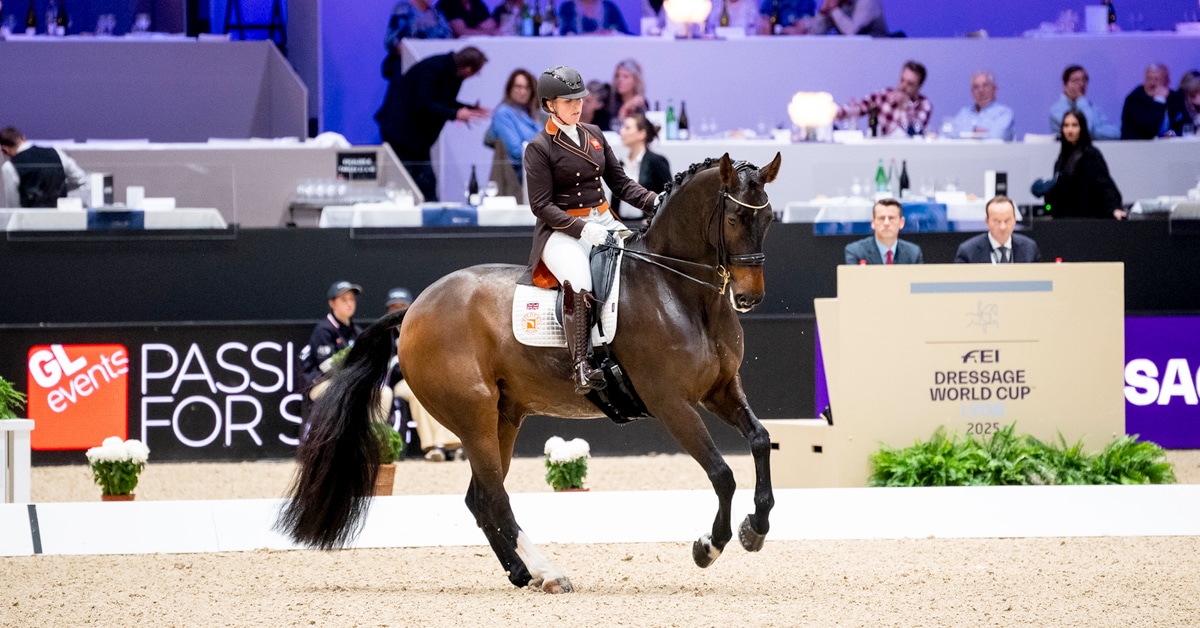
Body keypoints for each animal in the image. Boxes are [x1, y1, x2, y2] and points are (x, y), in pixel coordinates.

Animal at [277, 152, 783, 594]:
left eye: (769, 220)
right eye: (734, 220)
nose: (749, 297)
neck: (678, 291)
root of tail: (416, 307)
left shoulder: (721, 389)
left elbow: (760, 440)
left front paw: (755, 527)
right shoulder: (670, 402)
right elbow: (721, 472)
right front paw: (709, 546)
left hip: (504, 416)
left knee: (480, 498)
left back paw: (523, 574)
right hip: (474, 417)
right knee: (494, 499)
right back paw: (549, 573)